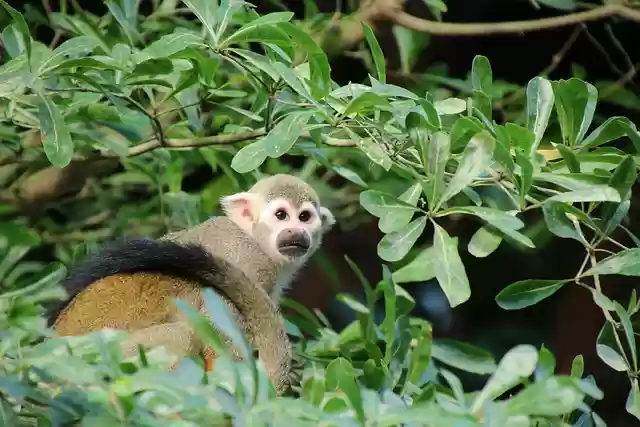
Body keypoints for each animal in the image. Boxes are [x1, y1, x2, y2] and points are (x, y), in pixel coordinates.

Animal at [46, 174, 335, 394]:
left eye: (305, 217)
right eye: (281, 215)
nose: (296, 233)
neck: (254, 239)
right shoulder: (245, 262)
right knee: (181, 336)